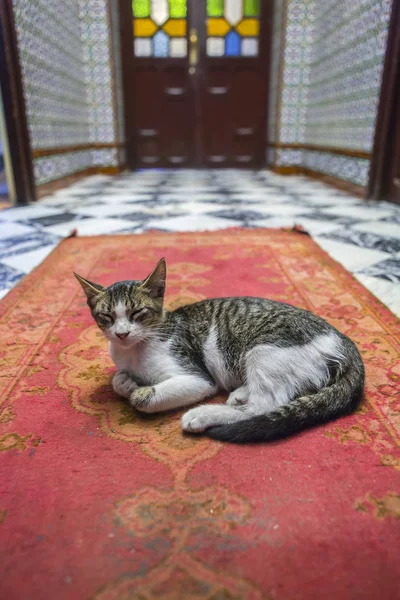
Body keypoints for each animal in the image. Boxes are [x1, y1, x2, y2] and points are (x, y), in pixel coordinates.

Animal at [75, 260, 366, 442]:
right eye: (106, 317)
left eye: (137, 313)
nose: (122, 334)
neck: (135, 350)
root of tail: (342, 339)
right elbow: (118, 378)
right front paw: (125, 382)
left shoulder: (197, 376)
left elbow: (143, 397)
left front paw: (137, 391)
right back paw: (240, 393)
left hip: (264, 348)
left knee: (264, 406)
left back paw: (205, 414)